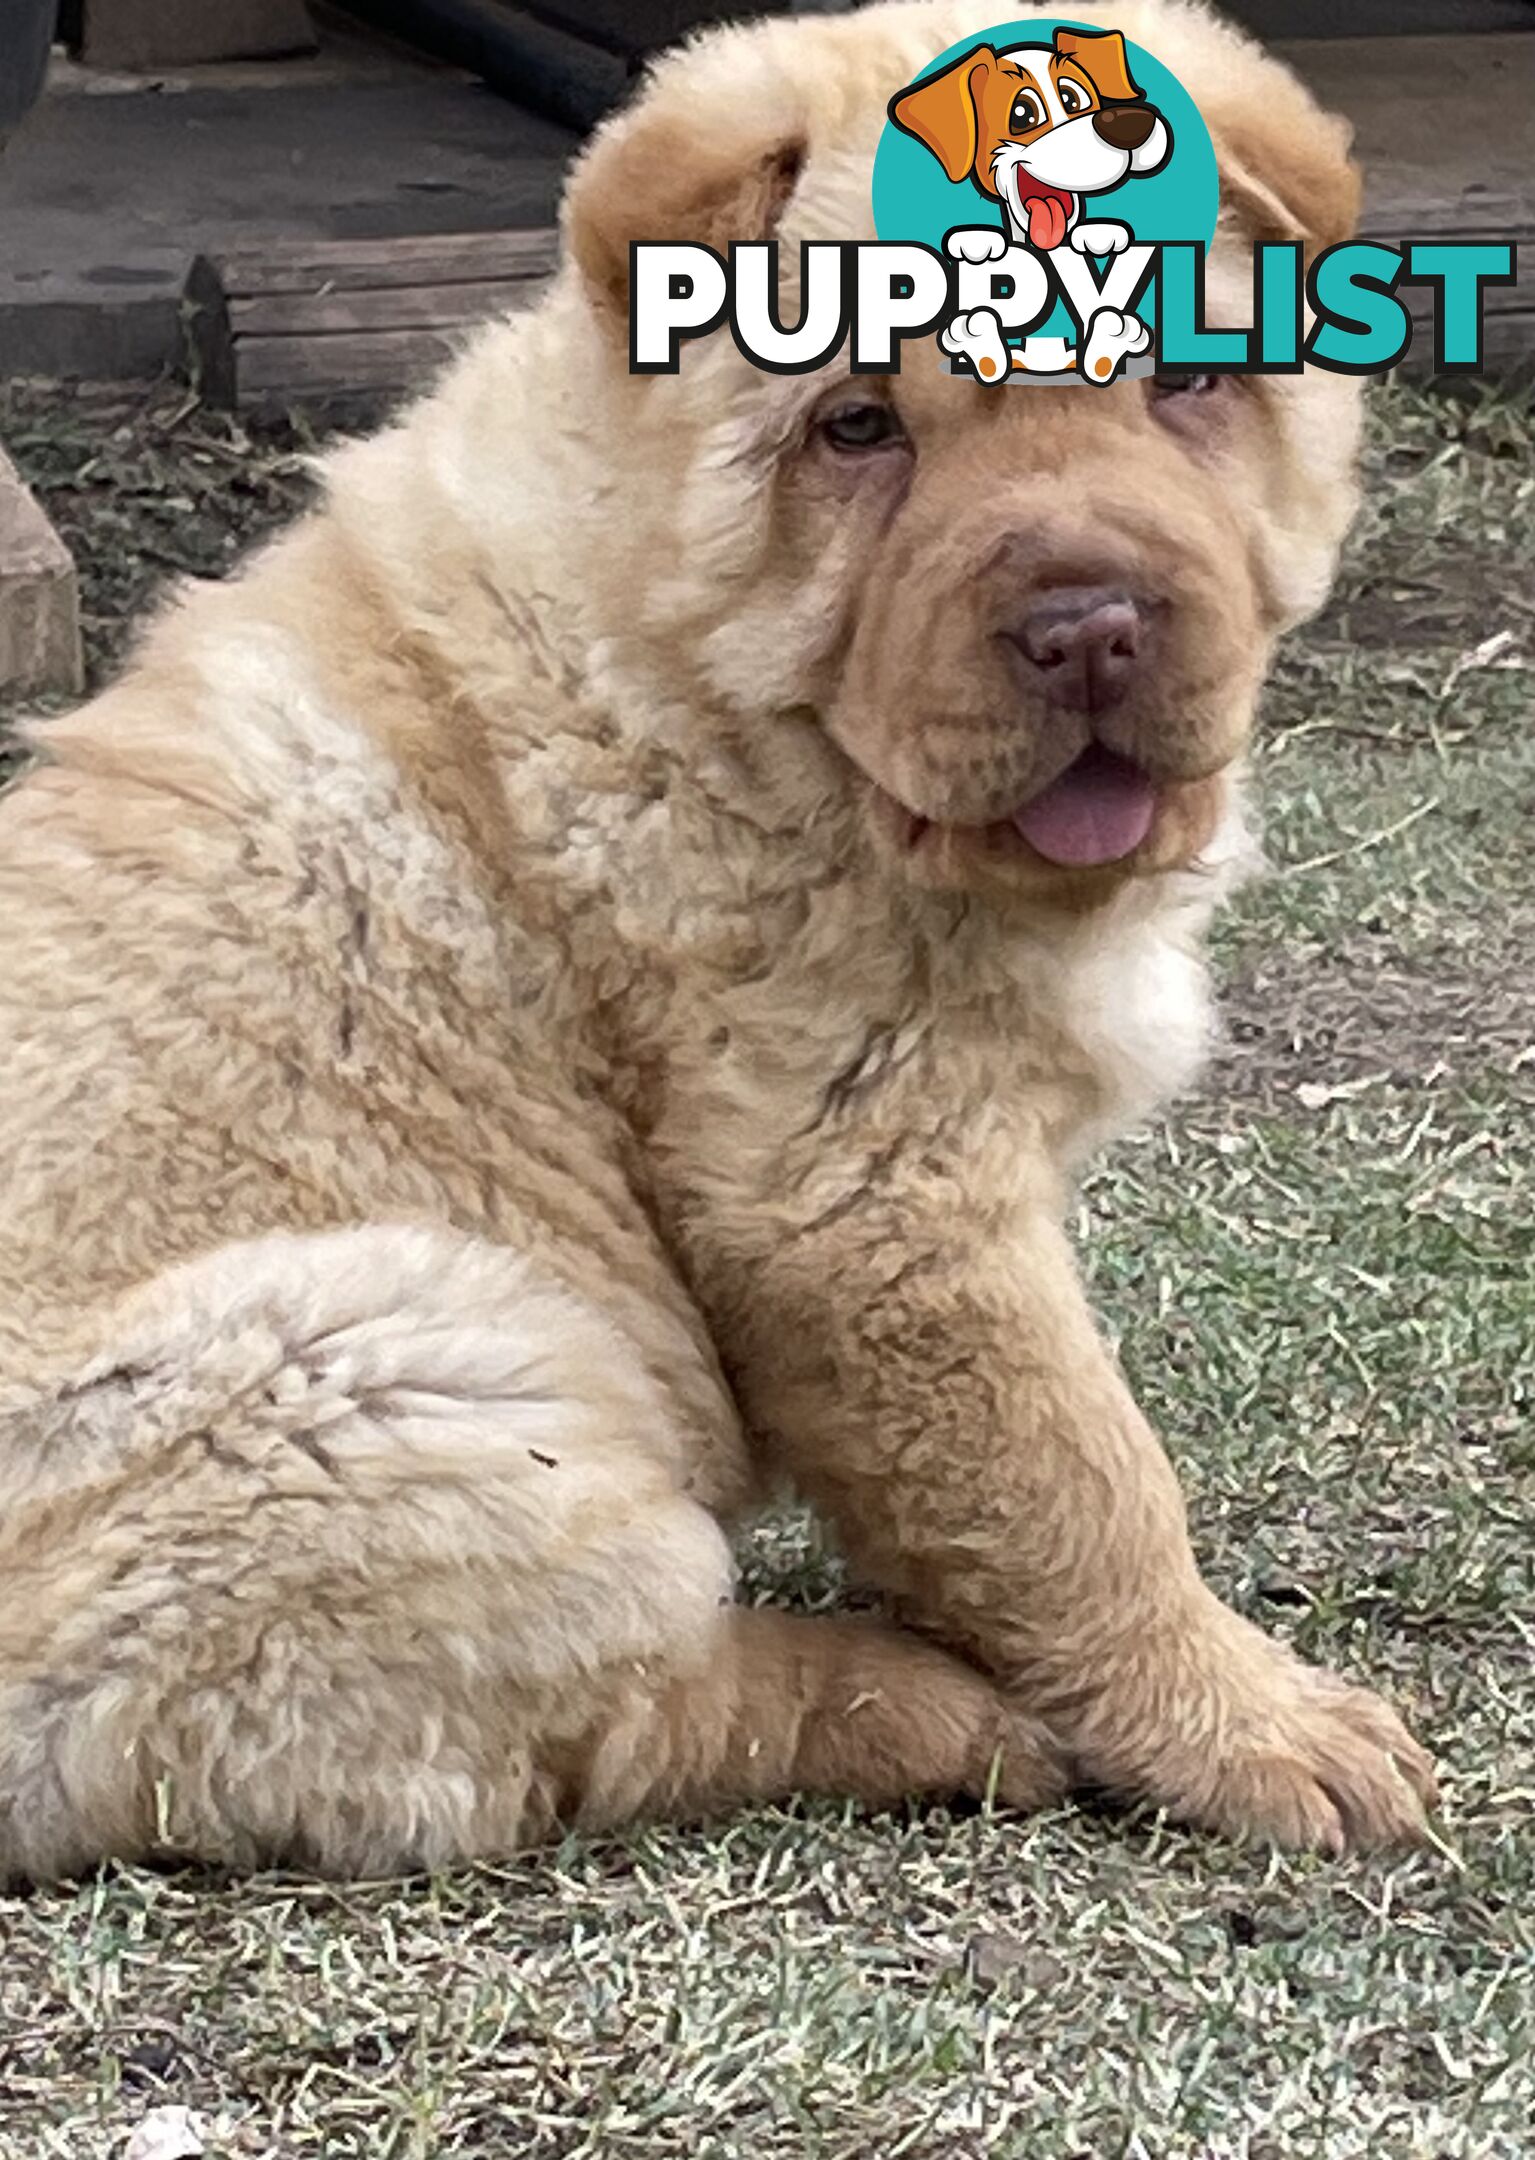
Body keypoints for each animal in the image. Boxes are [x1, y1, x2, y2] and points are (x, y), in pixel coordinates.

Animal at [0, 0, 1442, 1874]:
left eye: (1188, 382)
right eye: (860, 429)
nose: (1089, 625)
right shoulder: (866, 1194)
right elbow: (1085, 1489)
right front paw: (1265, 1731)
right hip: (406, 1363)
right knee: (595, 1718)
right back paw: (929, 1712)